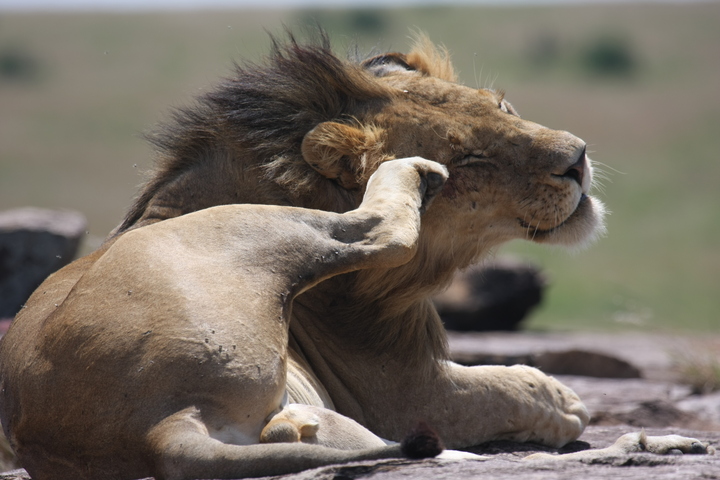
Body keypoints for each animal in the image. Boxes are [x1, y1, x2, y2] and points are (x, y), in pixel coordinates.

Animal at [0, 32, 712, 480]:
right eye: (471, 161)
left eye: (505, 107)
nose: (578, 158)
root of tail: (158, 429)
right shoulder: (404, 389)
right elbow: (522, 390)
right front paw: (563, 397)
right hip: (260, 236)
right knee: (375, 230)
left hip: (324, 414)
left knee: (393, 451)